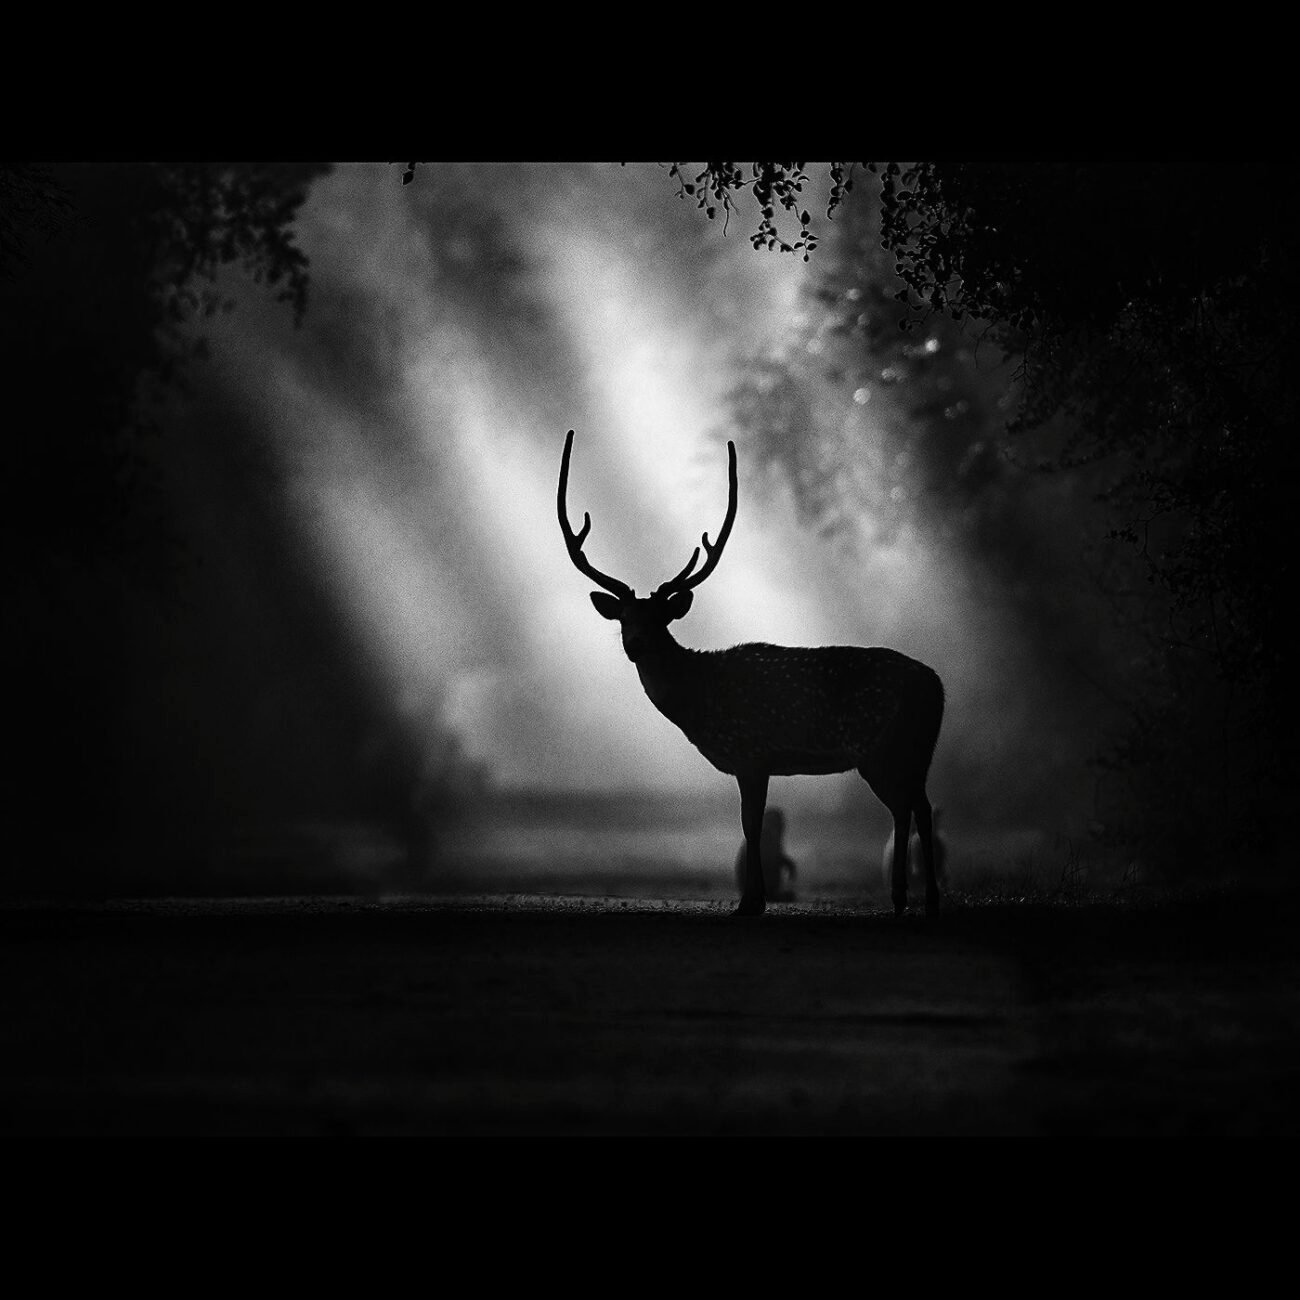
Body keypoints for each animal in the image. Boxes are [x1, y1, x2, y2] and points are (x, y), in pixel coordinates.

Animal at [558, 429, 945, 918]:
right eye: (625, 618)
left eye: (660, 619)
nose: (636, 644)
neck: (700, 703)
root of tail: (937, 685)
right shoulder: (757, 759)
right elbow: (752, 823)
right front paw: (754, 899)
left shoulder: (751, 751)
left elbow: (751, 822)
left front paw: (751, 902)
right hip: (914, 750)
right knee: (919, 807)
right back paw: (919, 900)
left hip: (882, 746)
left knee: (907, 807)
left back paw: (910, 899)